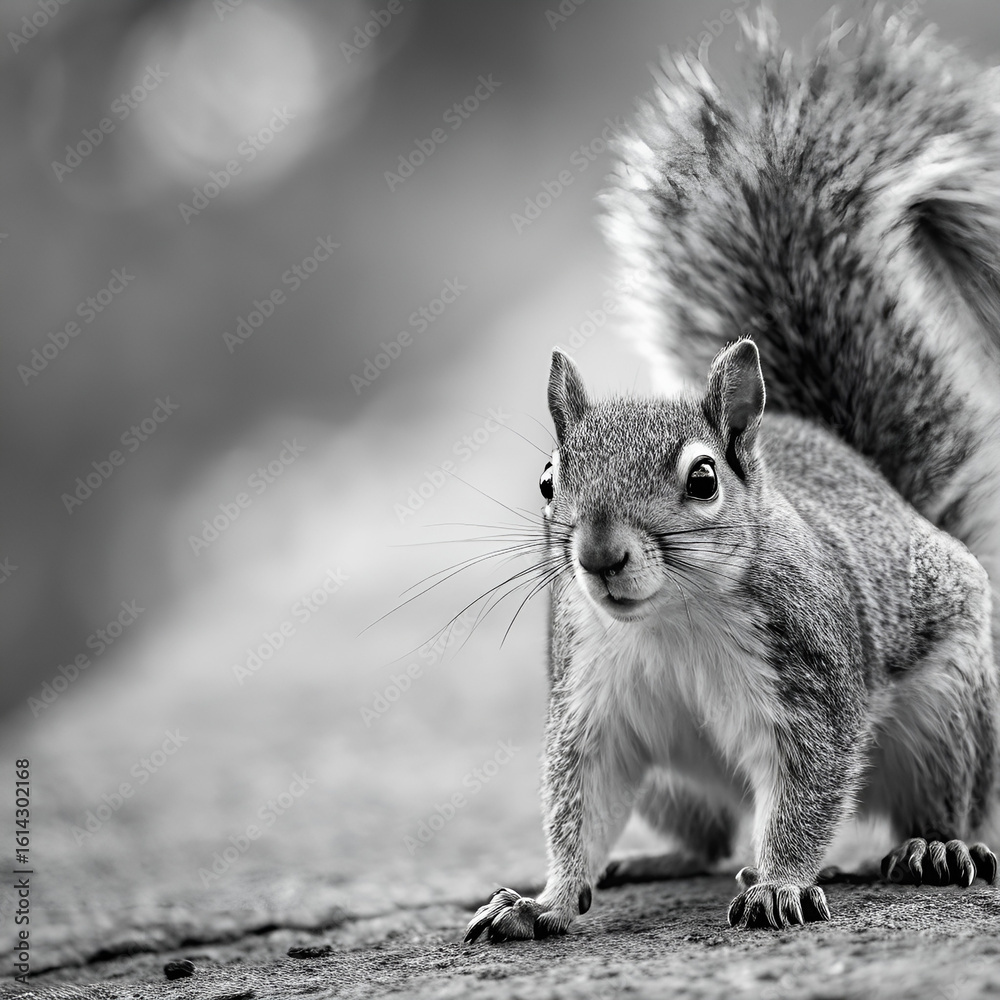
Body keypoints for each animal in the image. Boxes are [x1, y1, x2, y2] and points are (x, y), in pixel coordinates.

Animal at [465, 7, 1000, 938]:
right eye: (546, 481)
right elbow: (578, 805)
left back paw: (934, 849)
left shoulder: (809, 687)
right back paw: (658, 861)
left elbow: (806, 794)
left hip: (947, 712)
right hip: (674, 786)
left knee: (941, 798)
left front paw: (781, 883)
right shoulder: (590, 702)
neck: (671, 620)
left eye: (704, 481)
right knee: (708, 834)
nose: (598, 557)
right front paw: (543, 901)